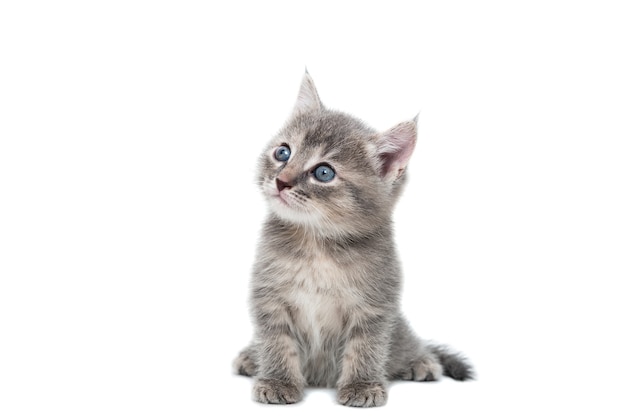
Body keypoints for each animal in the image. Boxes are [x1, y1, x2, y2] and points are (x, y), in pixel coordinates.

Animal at [234, 72, 472, 406]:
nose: (281, 181)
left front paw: (362, 386)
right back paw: (251, 357)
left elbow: (365, 348)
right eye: (283, 152)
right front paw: (278, 381)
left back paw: (422, 361)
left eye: (323, 172)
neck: (317, 246)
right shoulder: (269, 297)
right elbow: (276, 341)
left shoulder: (375, 304)